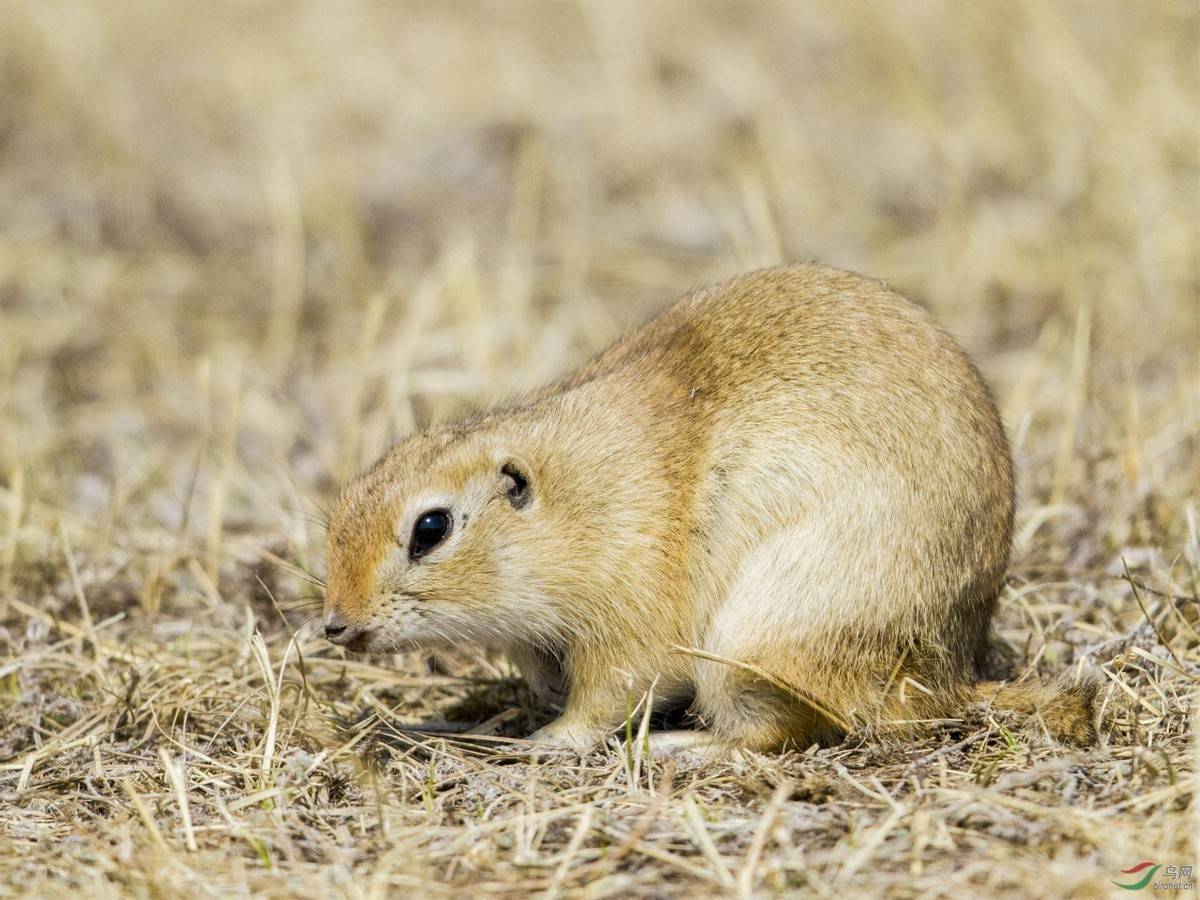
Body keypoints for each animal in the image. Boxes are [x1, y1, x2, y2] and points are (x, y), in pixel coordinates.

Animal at [319, 266, 1099, 753]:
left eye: (431, 528)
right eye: (341, 506)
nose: (334, 626)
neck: (574, 501)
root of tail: (943, 681)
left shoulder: (629, 618)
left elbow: (609, 695)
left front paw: (544, 742)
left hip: (752, 643)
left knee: (778, 733)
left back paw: (679, 748)